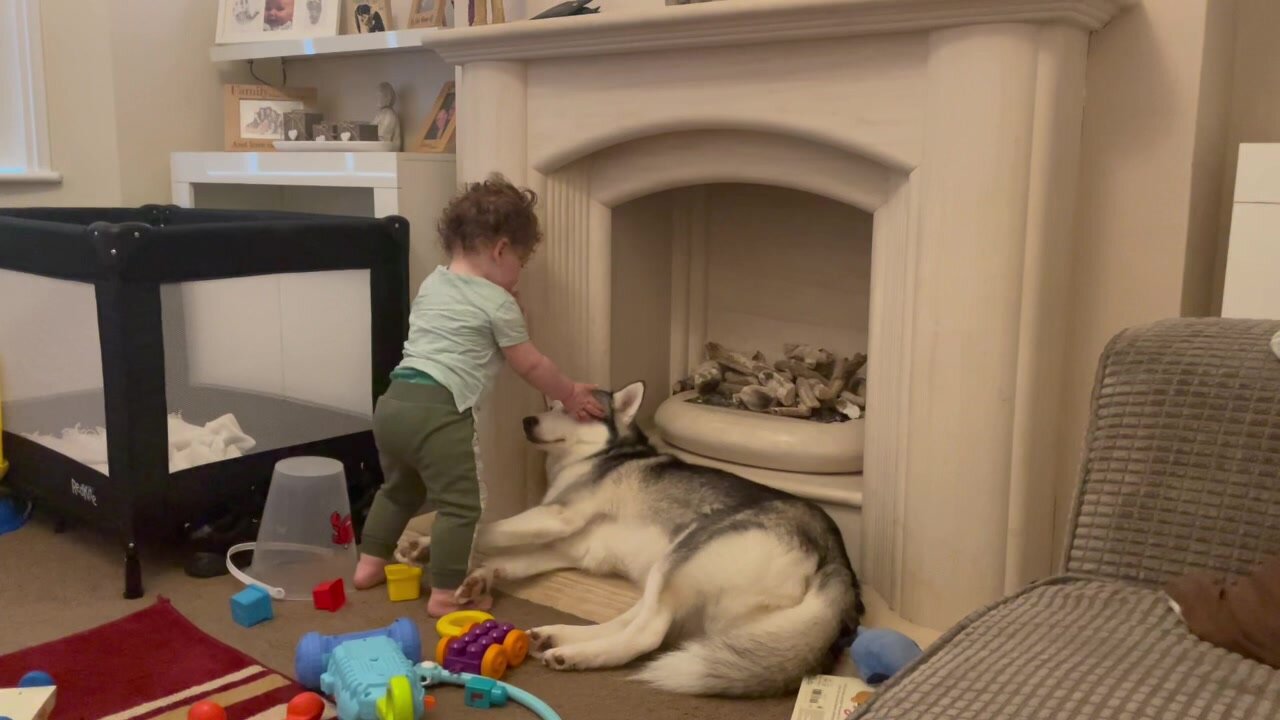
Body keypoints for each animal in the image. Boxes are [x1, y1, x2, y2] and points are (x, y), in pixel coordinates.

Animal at [455, 379, 865, 691]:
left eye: (572, 410)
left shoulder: (558, 517)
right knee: (637, 621)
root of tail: (838, 555)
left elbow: (490, 528)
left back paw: (575, 655)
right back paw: (558, 637)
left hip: (686, 551)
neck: (597, 457)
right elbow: (510, 558)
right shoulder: (563, 547)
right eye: (553, 404)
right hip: (668, 574)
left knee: (647, 633)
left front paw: (449, 540)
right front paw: (479, 577)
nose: (528, 420)